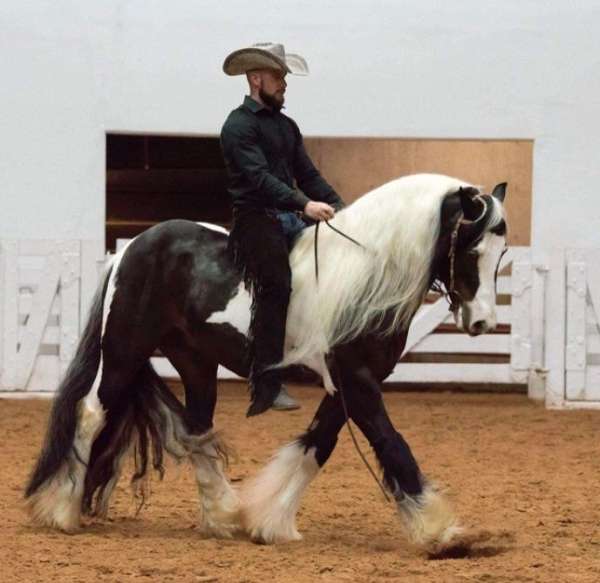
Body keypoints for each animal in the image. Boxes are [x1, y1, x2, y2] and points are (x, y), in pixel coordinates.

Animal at [25, 175, 508, 556]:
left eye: (502, 254)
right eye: (473, 248)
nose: (483, 322)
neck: (364, 277)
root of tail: (133, 248)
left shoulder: (346, 384)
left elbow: (317, 445)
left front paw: (270, 522)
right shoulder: (356, 380)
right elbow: (392, 444)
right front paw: (442, 532)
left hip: (195, 361)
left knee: (196, 429)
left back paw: (223, 515)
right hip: (125, 348)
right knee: (92, 412)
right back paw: (64, 511)